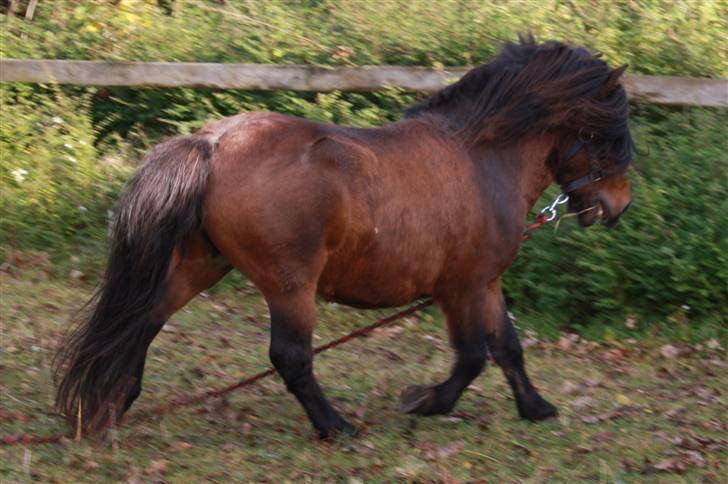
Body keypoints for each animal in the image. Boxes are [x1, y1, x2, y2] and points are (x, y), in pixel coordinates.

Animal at [54, 36, 632, 438]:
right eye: (605, 132)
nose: (617, 207)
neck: (480, 157)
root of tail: (213, 143)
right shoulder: (461, 285)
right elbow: (472, 356)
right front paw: (423, 401)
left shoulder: (485, 283)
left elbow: (508, 348)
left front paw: (536, 408)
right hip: (289, 284)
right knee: (290, 357)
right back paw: (335, 426)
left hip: (202, 263)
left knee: (143, 319)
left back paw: (112, 402)